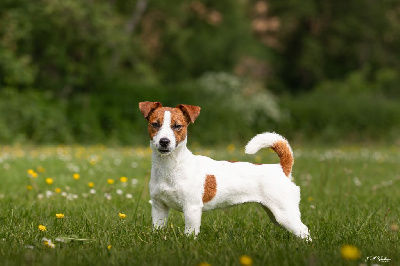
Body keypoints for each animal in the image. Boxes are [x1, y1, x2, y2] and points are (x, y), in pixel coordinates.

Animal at [139, 101, 310, 239]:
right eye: (155, 124)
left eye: (177, 126)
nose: (164, 141)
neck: (170, 166)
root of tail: (281, 169)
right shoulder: (159, 207)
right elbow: (157, 228)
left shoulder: (191, 208)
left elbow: (190, 233)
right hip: (275, 215)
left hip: (284, 213)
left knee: (304, 230)